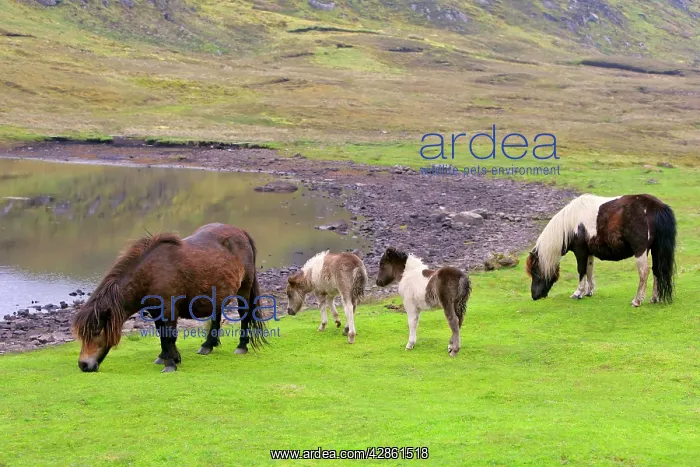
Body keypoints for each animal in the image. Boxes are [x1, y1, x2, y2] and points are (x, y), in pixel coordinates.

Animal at [72, 223, 268, 373]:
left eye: (96, 331)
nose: (83, 365)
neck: (151, 274)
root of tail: (240, 232)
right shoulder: (155, 310)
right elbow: (161, 334)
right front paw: (167, 357)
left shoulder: (168, 309)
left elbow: (168, 336)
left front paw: (170, 364)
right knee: (216, 315)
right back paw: (207, 345)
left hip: (244, 289)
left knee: (244, 315)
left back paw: (241, 347)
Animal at [526, 194, 676, 307]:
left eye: (535, 271)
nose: (534, 296)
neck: (571, 224)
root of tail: (656, 206)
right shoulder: (589, 253)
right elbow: (589, 270)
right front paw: (588, 292)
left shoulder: (580, 251)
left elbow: (581, 271)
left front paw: (578, 293)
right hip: (655, 250)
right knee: (657, 270)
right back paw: (654, 298)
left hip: (641, 250)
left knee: (644, 272)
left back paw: (637, 300)